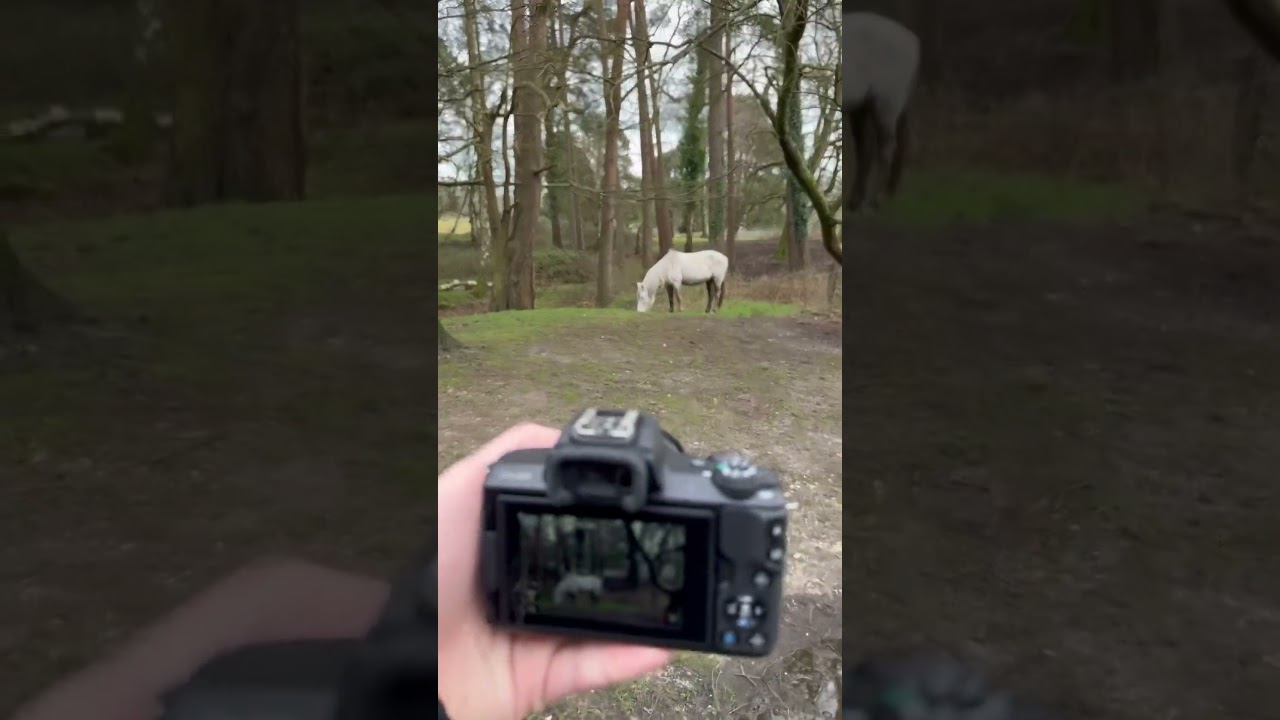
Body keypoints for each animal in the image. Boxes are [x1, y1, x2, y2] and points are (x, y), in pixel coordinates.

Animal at [843, 11, 920, 214]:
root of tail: (911, 40)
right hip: (865, 106)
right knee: (866, 151)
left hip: (885, 105)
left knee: (886, 148)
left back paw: (874, 200)